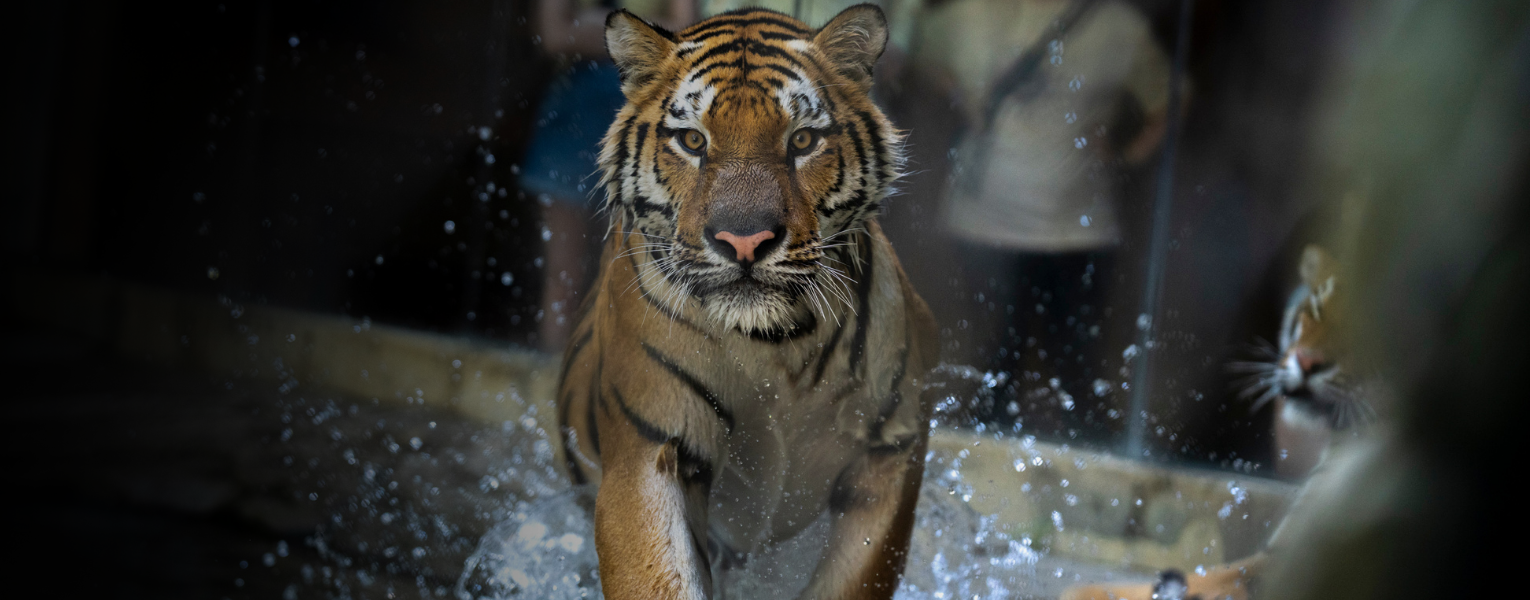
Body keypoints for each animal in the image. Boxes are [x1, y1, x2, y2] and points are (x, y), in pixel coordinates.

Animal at [554, 5, 939, 599]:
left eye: (802, 140)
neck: (776, 343)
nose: (744, 241)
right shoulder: (651, 450)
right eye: (693, 141)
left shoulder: (891, 452)